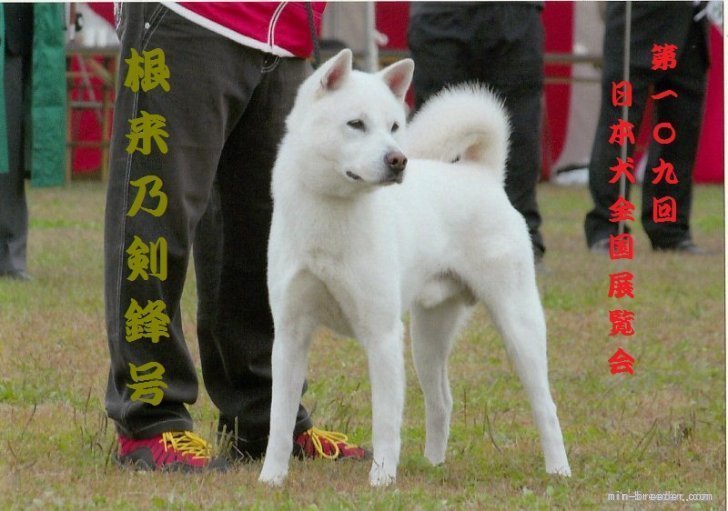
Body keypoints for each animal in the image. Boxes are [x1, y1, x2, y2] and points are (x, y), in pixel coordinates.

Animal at [258, 49, 572, 488]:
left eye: (394, 126)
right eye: (356, 124)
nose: (398, 160)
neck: (332, 212)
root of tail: (481, 173)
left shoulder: (383, 336)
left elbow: (385, 422)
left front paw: (381, 480)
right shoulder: (290, 335)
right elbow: (279, 420)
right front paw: (271, 478)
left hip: (518, 325)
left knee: (545, 405)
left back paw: (559, 470)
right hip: (428, 337)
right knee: (442, 400)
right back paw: (432, 464)